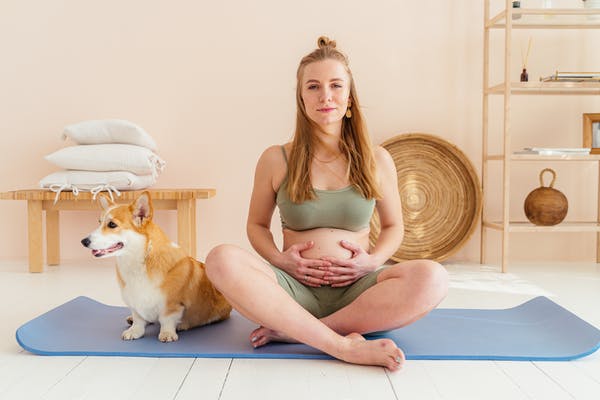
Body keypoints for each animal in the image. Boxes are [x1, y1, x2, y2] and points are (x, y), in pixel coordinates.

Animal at [83, 192, 233, 342]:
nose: (83, 241)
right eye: (99, 222)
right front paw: (134, 331)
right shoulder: (134, 301)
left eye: (112, 224)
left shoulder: (171, 304)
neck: (138, 261)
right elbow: (138, 318)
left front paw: (167, 333)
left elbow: (167, 319)